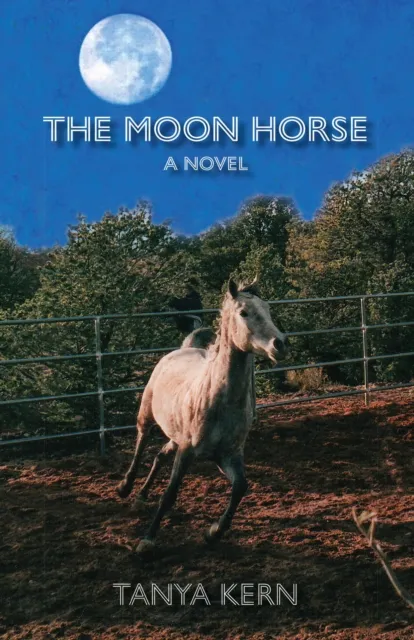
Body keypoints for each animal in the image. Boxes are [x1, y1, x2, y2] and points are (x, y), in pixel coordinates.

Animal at [117, 278, 289, 554]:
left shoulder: (228, 455)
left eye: (268, 309)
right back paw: (125, 487)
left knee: (159, 456)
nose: (280, 344)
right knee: (141, 444)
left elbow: (240, 487)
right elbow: (170, 493)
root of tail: (183, 349)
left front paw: (213, 532)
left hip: (175, 435)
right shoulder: (187, 451)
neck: (219, 401)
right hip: (147, 416)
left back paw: (141, 497)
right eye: (244, 312)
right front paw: (147, 540)